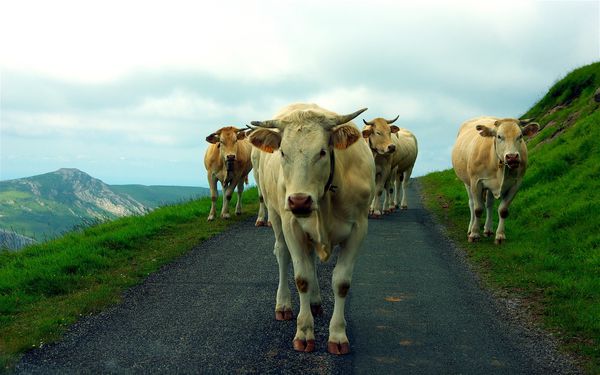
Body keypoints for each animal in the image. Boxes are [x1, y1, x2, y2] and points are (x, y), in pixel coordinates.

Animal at [248, 103, 376, 356]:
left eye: (322, 152)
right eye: (283, 153)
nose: (299, 201)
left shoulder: (359, 228)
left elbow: (341, 282)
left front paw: (337, 335)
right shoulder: (292, 225)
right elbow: (302, 278)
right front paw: (304, 332)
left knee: (311, 259)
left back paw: (315, 302)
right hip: (275, 213)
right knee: (282, 253)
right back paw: (284, 304)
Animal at [450, 118, 540, 247]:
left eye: (520, 136)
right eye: (499, 136)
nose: (512, 157)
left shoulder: (515, 185)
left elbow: (503, 211)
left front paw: (500, 236)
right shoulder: (476, 182)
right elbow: (478, 209)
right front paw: (474, 234)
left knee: (489, 204)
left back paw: (488, 229)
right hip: (467, 182)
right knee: (472, 204)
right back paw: (470, 228)